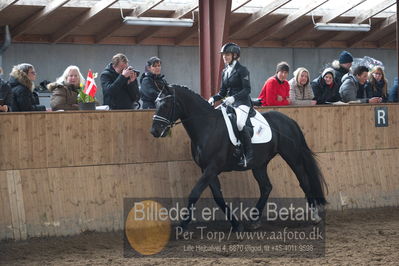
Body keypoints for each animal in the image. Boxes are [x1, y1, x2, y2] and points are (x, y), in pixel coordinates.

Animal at [152, 85, 326, 231]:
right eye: (155, 103)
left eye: (166, 105)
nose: (154, 131)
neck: (207, 126)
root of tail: (289, 120)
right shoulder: (207, 169)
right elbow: (218, 197)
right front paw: (236, 224)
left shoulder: (212, 167)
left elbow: (195, 193)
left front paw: (182, 226)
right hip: (259, 164)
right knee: (266, 187)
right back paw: (254, 220)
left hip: (292, 157)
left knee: (303, 181)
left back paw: (315, 216)